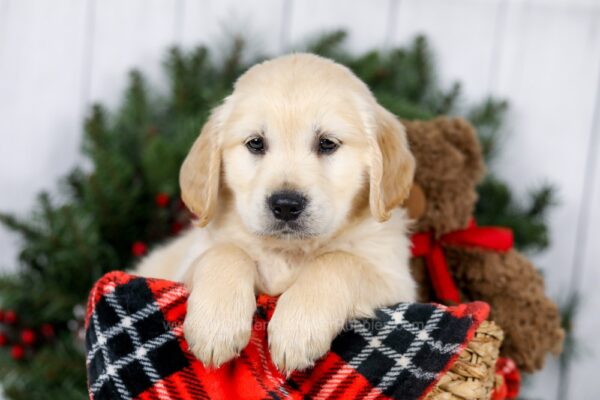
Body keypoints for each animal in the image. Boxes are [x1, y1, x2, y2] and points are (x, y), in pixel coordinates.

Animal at [135, 52, 418, 372]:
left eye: (327, 143)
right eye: (255, 143)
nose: (285, 205)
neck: (289, 252)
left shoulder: (395, 279)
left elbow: (338, 260)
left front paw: (297, 328)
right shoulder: (188, 263)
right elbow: (225, 252)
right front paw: (215, 326)